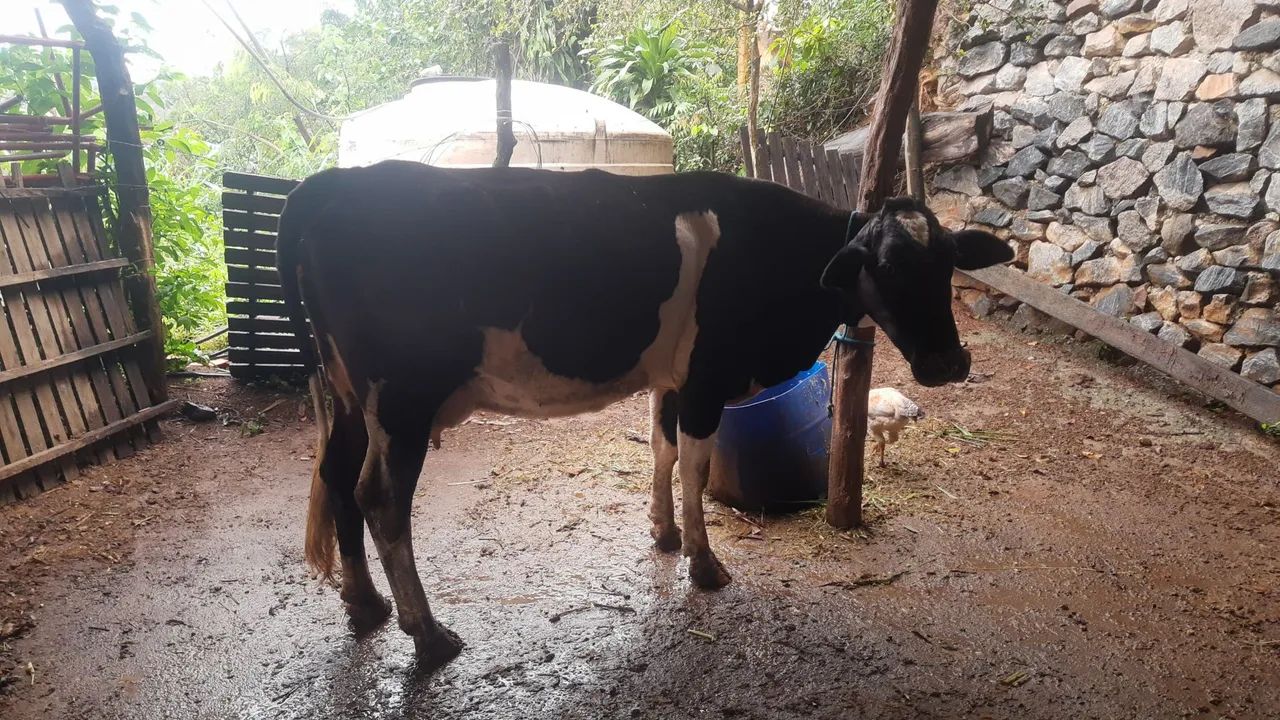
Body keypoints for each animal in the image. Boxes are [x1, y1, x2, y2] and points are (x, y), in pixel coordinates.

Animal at [276, 160, 1012, 669]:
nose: (948, 362)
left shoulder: (674, 378)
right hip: (401, 401)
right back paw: (427, 636)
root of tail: (333, 181)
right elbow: (695, 467)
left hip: (349, 394)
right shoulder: (709, 377)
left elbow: (661, 450)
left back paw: (364, 605)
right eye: (885, 265)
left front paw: (662, 534)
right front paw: (704, 564)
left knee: (336, 479)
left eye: (949, 261)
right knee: (380, 499)